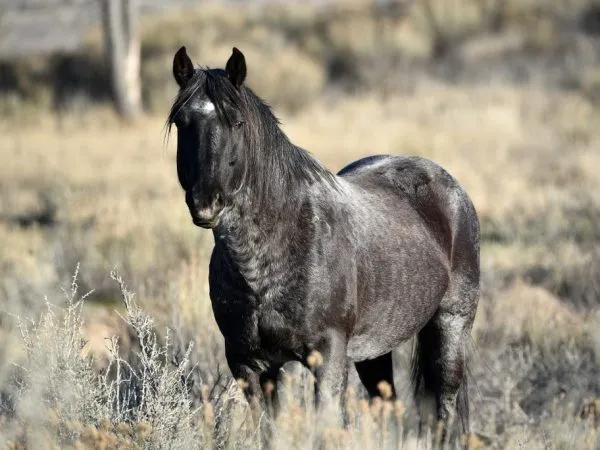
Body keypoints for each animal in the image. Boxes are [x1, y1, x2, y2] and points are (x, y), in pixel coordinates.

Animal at [166, 46, 480, 442]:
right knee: (389, 407)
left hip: (451, 326)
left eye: (236, 122)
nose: (207, 202)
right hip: (374, 351)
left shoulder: (327, 358)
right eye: (182, 122)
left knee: (444, 411)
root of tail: (448, 185)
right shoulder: (249, 364)